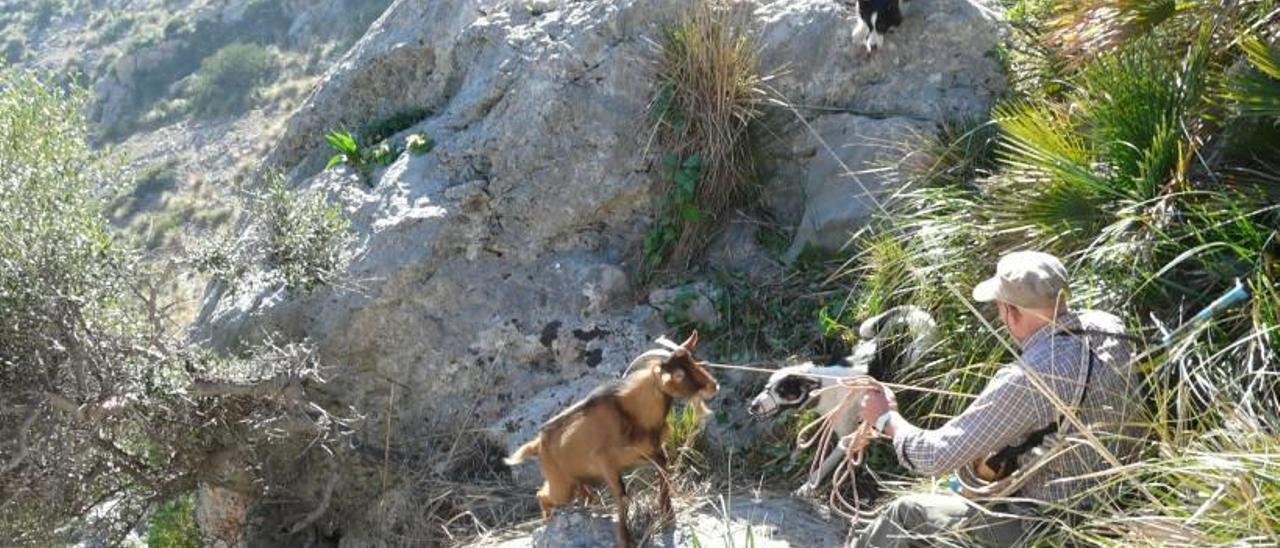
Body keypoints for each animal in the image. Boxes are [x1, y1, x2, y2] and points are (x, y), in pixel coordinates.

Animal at [501, 332, 721, 545]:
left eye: (693, 360)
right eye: (678, 374)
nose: (714, 386)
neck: (631, 414)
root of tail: (538, 444)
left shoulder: (652, 452)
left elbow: (664, 471)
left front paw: (668, 516)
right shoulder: (605, 463)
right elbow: (622, 497)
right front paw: (625, 539)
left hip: (575, 479)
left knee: (582, 493)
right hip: (560, 484)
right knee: (542, 495)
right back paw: (548, 521)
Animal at [747, 303, 936, 496]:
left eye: (782, 391)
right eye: (767, 387)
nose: (753, 406)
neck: (825, 386)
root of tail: (880, 342)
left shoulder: (846, 437)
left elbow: (823, 465)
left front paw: (806, 486)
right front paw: (796, 454)